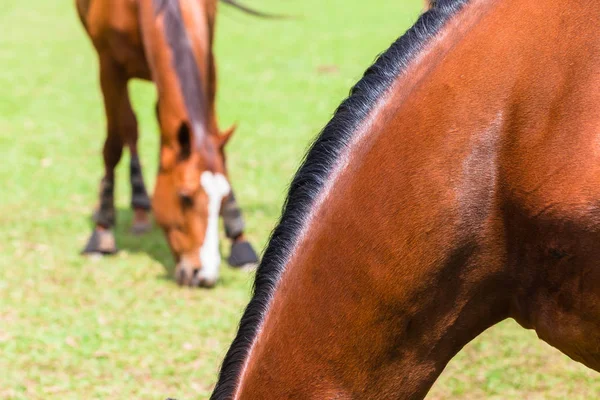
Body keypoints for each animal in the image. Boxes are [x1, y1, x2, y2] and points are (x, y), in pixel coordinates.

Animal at [77, 0, 270, 286]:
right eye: (185, 197)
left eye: (223, 197)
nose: (204, 275)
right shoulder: (109, 65)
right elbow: (113, 145)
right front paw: (101, 234)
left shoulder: (208, 59)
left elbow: (213, 140)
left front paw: (240, 241)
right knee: (130, 129)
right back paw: (138, 209)